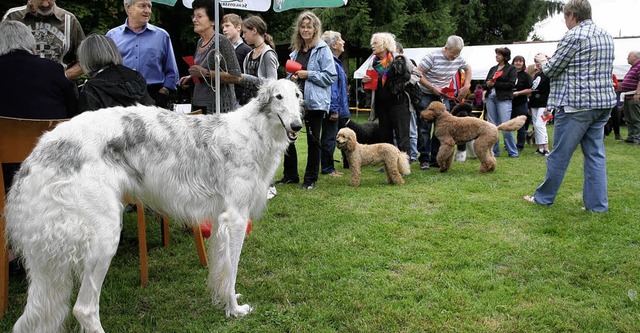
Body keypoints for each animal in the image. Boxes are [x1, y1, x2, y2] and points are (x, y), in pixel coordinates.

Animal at [5, 79, 304, 330]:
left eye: (298, 96)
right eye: (278, 96)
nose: (297, 126)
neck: (254, 132)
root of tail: (38, 154)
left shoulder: (220, 218)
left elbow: (221, 269)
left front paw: (224, 301)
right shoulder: (237, 217)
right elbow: (232, 269)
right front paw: (235, 309)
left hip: (48, 259)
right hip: (103, 238)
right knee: (84, 309)